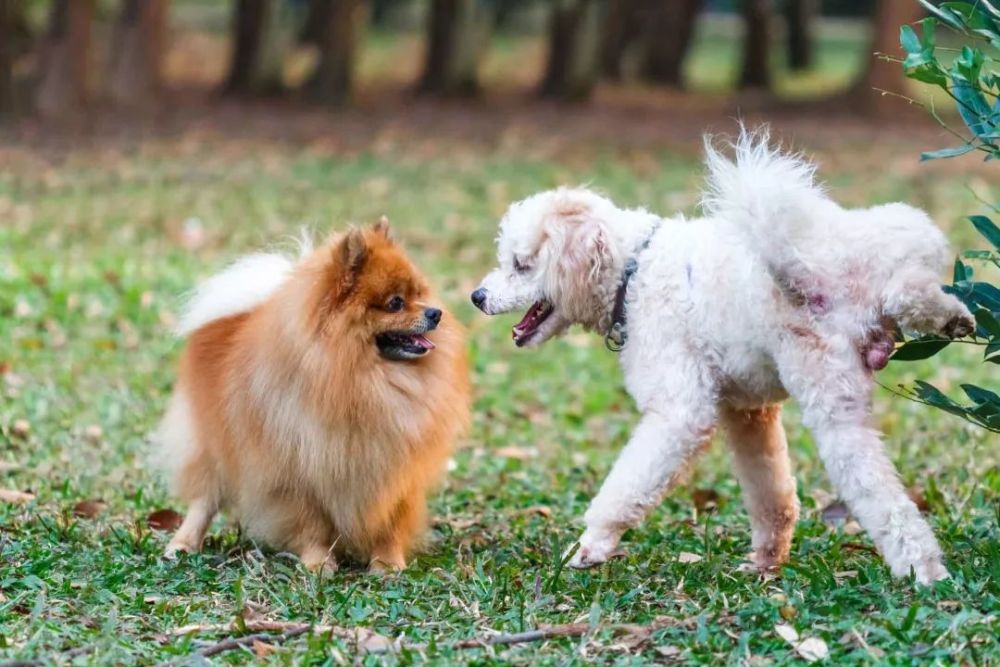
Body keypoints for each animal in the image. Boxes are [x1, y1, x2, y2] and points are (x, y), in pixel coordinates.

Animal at [154, 220, 470, 576]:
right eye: (395, 303)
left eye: (419, 294)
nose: (436, 313)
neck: (367, 380)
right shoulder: (295, 472)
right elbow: (312, 524)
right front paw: (318, 562)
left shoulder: (397, 472)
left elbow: (389, 523)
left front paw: (387, 564)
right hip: (211, 447)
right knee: (203, 499)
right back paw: (183, 544)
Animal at [472, 130, 972, 584]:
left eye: (520, 264)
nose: (477, 297)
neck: (633, 273)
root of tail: (809, 268)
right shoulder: (749, 412)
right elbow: (771, 493)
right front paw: (766, 561)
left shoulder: (680, 411)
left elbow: (628, 485)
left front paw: (591, 545)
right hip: (895, 235)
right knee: (910, 288)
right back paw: (952, 317)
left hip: (830, 400)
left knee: (879, 494)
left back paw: (924, 571)